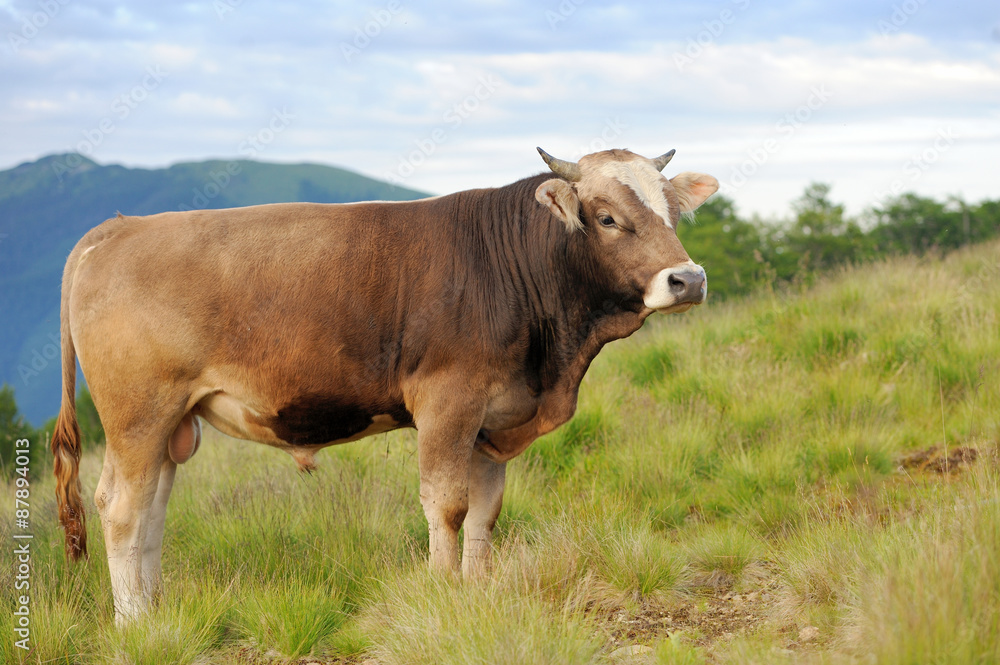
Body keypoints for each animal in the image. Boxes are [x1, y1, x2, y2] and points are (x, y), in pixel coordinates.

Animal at [50, 147, 716, 624]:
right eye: (607, 218)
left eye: (672, 213)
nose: (688, 279)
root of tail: (115, 230)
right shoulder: (447, 403)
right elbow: (446, 506)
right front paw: (444, 593)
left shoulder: (493, 418)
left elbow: (486, 512)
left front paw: (479, 591)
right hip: (138, 414)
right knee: (121, 508)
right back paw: (135, 623)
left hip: (171, 424)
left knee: (153, 509)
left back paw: (156, 609)